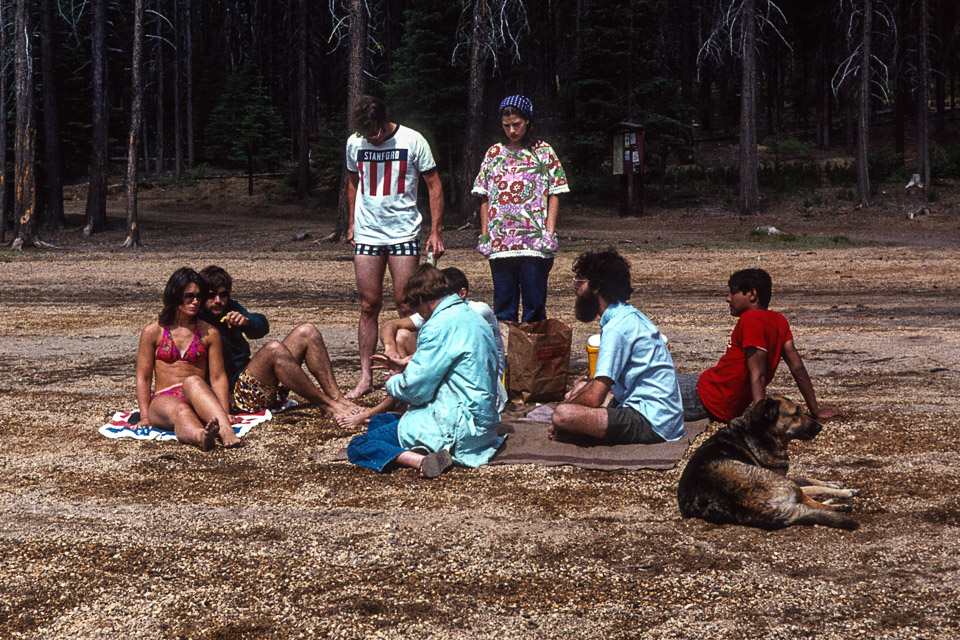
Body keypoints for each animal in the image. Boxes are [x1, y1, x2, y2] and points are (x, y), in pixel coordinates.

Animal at [680, 396, 860, 528]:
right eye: (795, 414)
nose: (819, 427)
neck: (759, 433)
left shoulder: (784, 475)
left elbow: (808, 478)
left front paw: (834, 483)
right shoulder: (784, 479)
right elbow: (814, 486)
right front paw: (841, 490)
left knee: (806, 505)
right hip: (785, 484)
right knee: (810, 502)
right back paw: (841, 503)